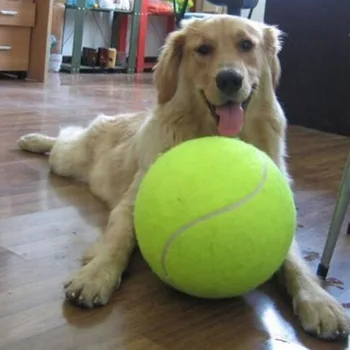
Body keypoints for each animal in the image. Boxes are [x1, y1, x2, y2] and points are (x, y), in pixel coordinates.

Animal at [18, 15, 348, 340]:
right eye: (202, 49)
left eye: (246, 45)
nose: (229, 79)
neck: (217, 136)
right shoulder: (130, 205)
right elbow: (118, 241)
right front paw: (96, 274)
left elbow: (295, 263)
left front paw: (320, 302)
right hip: (68, 159)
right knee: (63, 138)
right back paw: (33, 140)